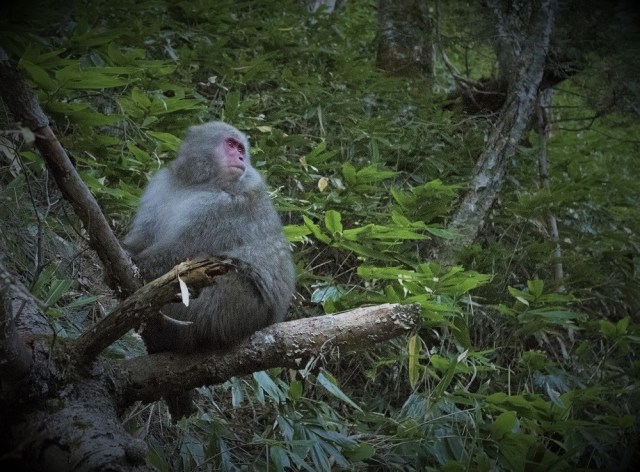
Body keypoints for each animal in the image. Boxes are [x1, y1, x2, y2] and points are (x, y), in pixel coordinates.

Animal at [122, 121, 296, 354]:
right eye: (231, 144)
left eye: (241, 149)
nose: (240, 158)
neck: (199, 183)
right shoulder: (161, 184)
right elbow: (143, 237)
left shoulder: (226, 207)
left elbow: (180, 253)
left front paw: (133, 263)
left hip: (238, 311)